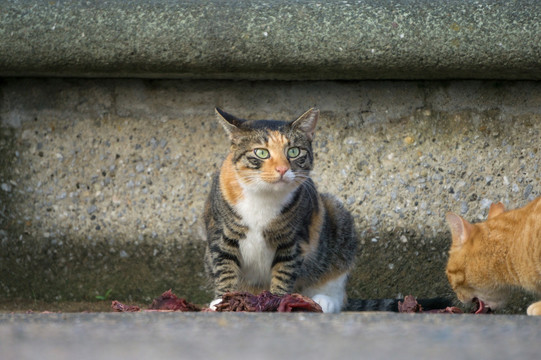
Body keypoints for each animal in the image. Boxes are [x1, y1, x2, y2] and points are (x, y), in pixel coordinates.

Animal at [202, 107, 358, 312]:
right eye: (261, 152)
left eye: (293, 151)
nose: (282, 169)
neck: (263, 196)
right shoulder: (221, 234)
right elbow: (225, 268)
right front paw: (222, 302)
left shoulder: (293, 240)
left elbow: (284, 272)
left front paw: (277, 301)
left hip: (337, 218)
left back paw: (323, 301)